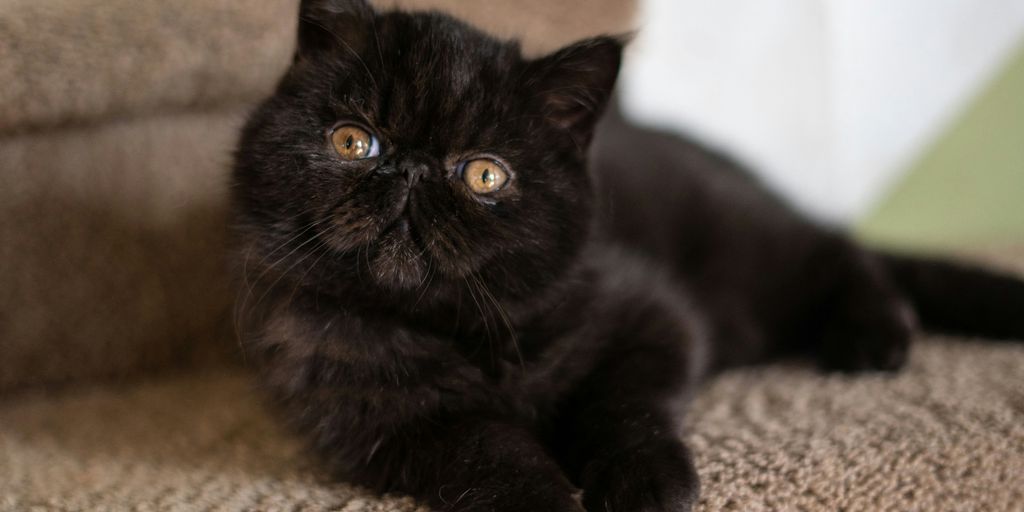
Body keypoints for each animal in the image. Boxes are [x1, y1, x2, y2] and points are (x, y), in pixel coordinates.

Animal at [230, 2, 1024, 509]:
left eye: (485, 175)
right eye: (352, 141)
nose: (411, 172)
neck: (457, 331)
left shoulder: (650, 314)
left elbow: (626, 400)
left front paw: (646, 481)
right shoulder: (370, 424)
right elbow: (478, 444)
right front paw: (542, 498)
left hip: (744, 245)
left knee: (837, 249)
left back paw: (873, 337)